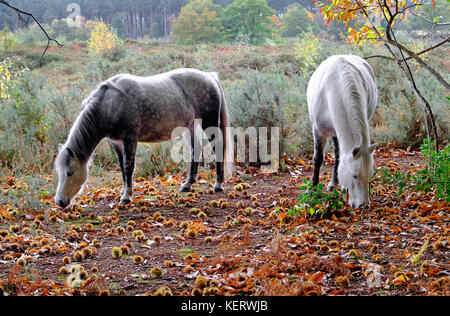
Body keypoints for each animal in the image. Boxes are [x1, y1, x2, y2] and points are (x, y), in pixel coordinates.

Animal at [53, 68, 232, 207]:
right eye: (59, 172)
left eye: (70, 172)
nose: (60, 202)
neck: (110, 105)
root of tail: (209, 76)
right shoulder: (116, 143)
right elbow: (122, 168)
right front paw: (123, 191)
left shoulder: (129, 139)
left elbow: (128, 167)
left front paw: (127, 197)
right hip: (190, 127)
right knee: (196, 151)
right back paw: (187, 185)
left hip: (210, 123)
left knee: (218, 149)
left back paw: (218, 185)